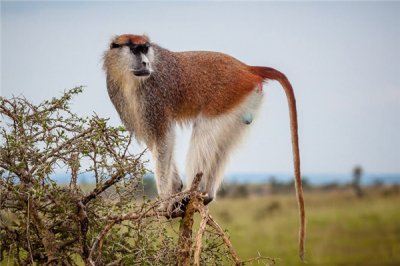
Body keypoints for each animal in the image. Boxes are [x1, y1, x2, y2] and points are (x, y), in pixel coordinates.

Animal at [104, 33, 306, 260]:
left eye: (145, 49)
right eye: (135, 50)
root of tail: (246, 68)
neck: (128, 78)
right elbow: (156, 143)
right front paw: (175, 187)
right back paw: (206, 195)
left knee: (204, 129)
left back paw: (194, 193)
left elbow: (163, 140)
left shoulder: (154, 98)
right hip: (240, 103)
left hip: (227, 96)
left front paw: (166, 201)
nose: (146, 63)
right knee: (221, 143)